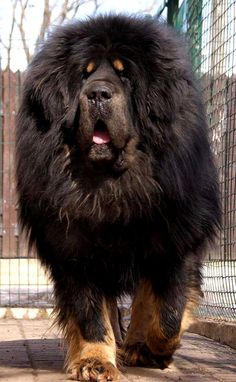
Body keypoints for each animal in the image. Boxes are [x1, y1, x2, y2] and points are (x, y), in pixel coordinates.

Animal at [15, 14, 220, 380]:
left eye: (125, 74)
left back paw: (138, 345)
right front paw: (95, 360)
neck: (113, 185)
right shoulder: (74, 250)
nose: (98, 93)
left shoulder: (175, 242)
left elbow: (168, 314)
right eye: (84, 74)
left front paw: (155, 350)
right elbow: (90, 314)